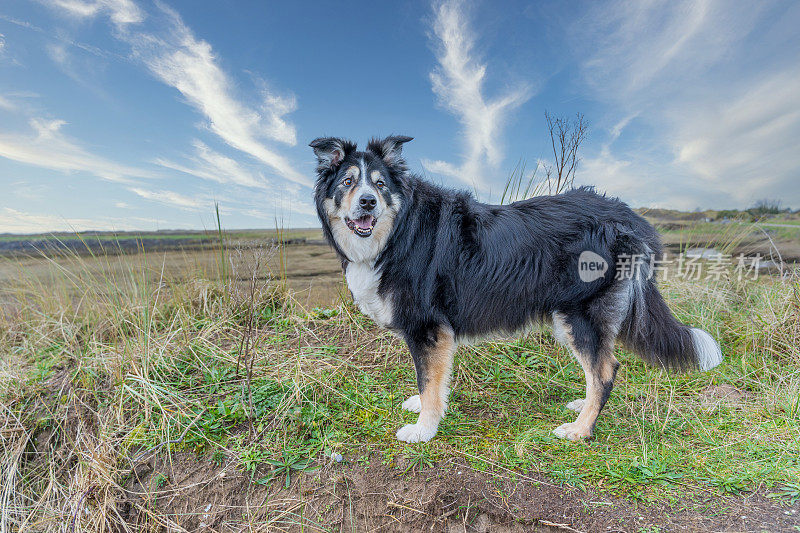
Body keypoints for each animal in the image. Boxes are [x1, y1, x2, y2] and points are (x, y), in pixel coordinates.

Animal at [310, 135, 720, 442]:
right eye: (347, 182)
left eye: (380, 185)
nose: (368, 202)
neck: (399, 230)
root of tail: (631, 218)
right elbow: (433, 381)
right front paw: (425, 408)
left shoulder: (427, 327)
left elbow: (428, 379)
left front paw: (424, 429)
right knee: (600, 369)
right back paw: (581, 406)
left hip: (580, 314)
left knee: (605, 371)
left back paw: (580, 430)